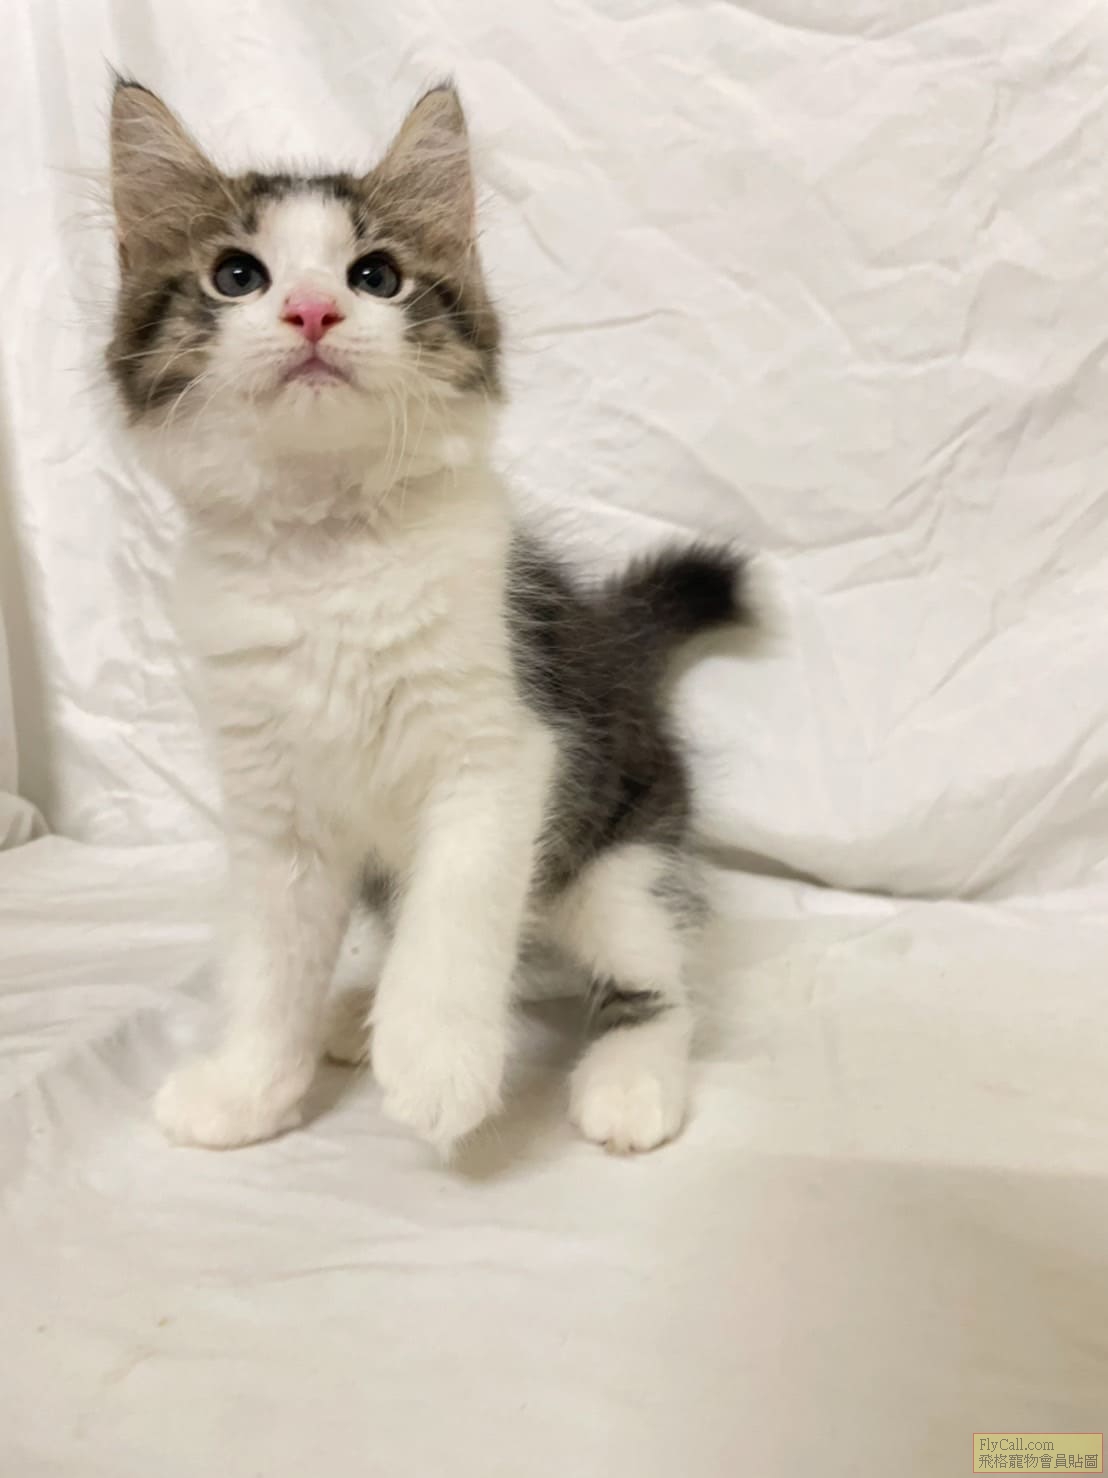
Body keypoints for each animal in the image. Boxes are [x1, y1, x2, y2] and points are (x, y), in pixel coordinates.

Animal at [106, 77, 750, 1156]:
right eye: (237, 275)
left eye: (377, 275)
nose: (313, 309)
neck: (328, 550)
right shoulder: (274, 805)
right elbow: (271, 964)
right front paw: (249, 1087)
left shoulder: (504, 751)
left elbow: (454, 916)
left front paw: (436, 1062)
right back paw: (350, 1016)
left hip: (621, 856)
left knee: (654, 979)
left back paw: (628, 1079)